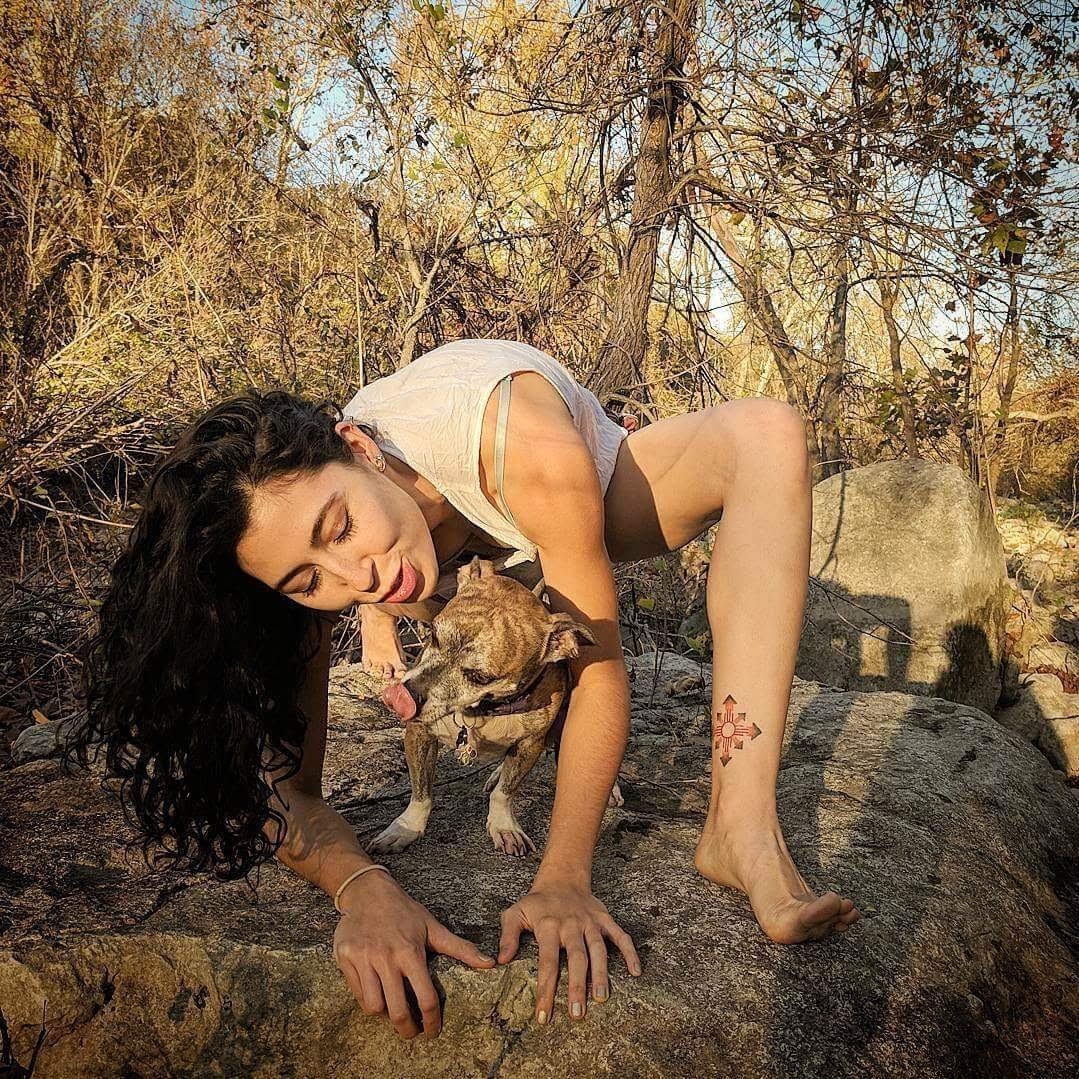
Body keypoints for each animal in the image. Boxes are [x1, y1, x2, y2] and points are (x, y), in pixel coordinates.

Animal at [375, 561, 621, 854]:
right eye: (433, 636)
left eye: (479, 676)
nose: (401, 697)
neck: (483, 711)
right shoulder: (419, 734)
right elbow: (421, 791)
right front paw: (406, 828)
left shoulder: (529, 745)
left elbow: (505, 792)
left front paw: (504, 826)